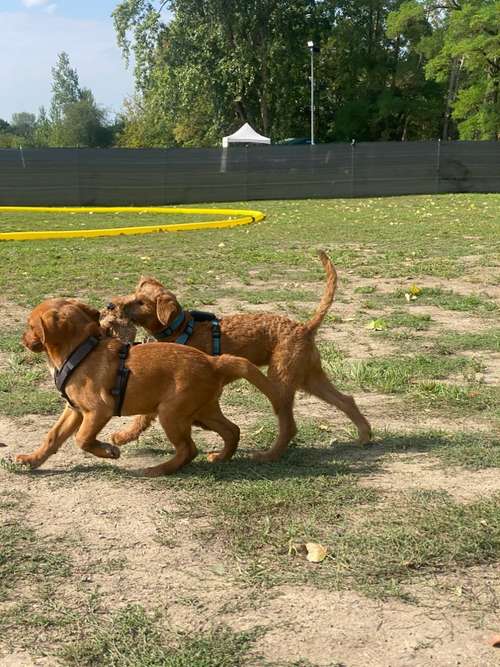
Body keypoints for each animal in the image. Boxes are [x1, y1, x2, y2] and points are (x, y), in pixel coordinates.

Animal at [16, 298, 282, 474]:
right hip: (203, 410)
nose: (22, 340)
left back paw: (158, 470)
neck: (81, 351)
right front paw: (33, 459)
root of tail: (213, 362)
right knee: (231, 430)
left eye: (30, 326)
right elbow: (53, 436)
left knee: (188, 448)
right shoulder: (75, 410)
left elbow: (81, 438)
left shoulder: (98, 410)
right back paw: (220, 457)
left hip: (171, 413)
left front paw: (109, 451)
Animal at [105, 250, 372, 460]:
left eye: (141, 302)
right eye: (132, 294)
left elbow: (142, 416)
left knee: (289, 425)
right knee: (346, 400)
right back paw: (364, 435)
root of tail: (305, 328)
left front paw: (121, 436)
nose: (109, 305)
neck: (180, 328)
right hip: (310, 377)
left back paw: (268, 455)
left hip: (281, 380)